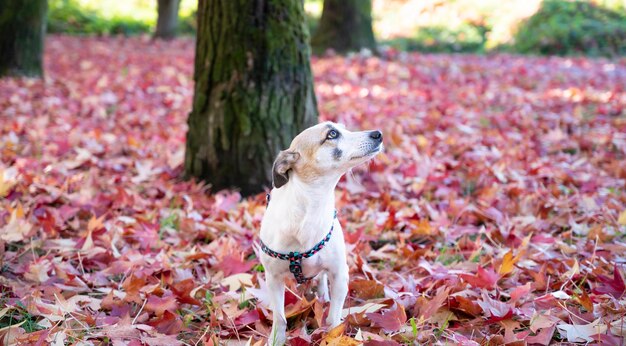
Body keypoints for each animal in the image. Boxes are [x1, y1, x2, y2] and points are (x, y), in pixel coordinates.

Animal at [258, 121, 380, 344]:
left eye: (344, 128)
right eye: (332, 134)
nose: (378, 134)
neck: (310, 210)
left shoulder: (340, 274)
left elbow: (333, 318)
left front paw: (334, 336)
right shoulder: (273, 279)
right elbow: (279, 317)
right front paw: (277, 339)